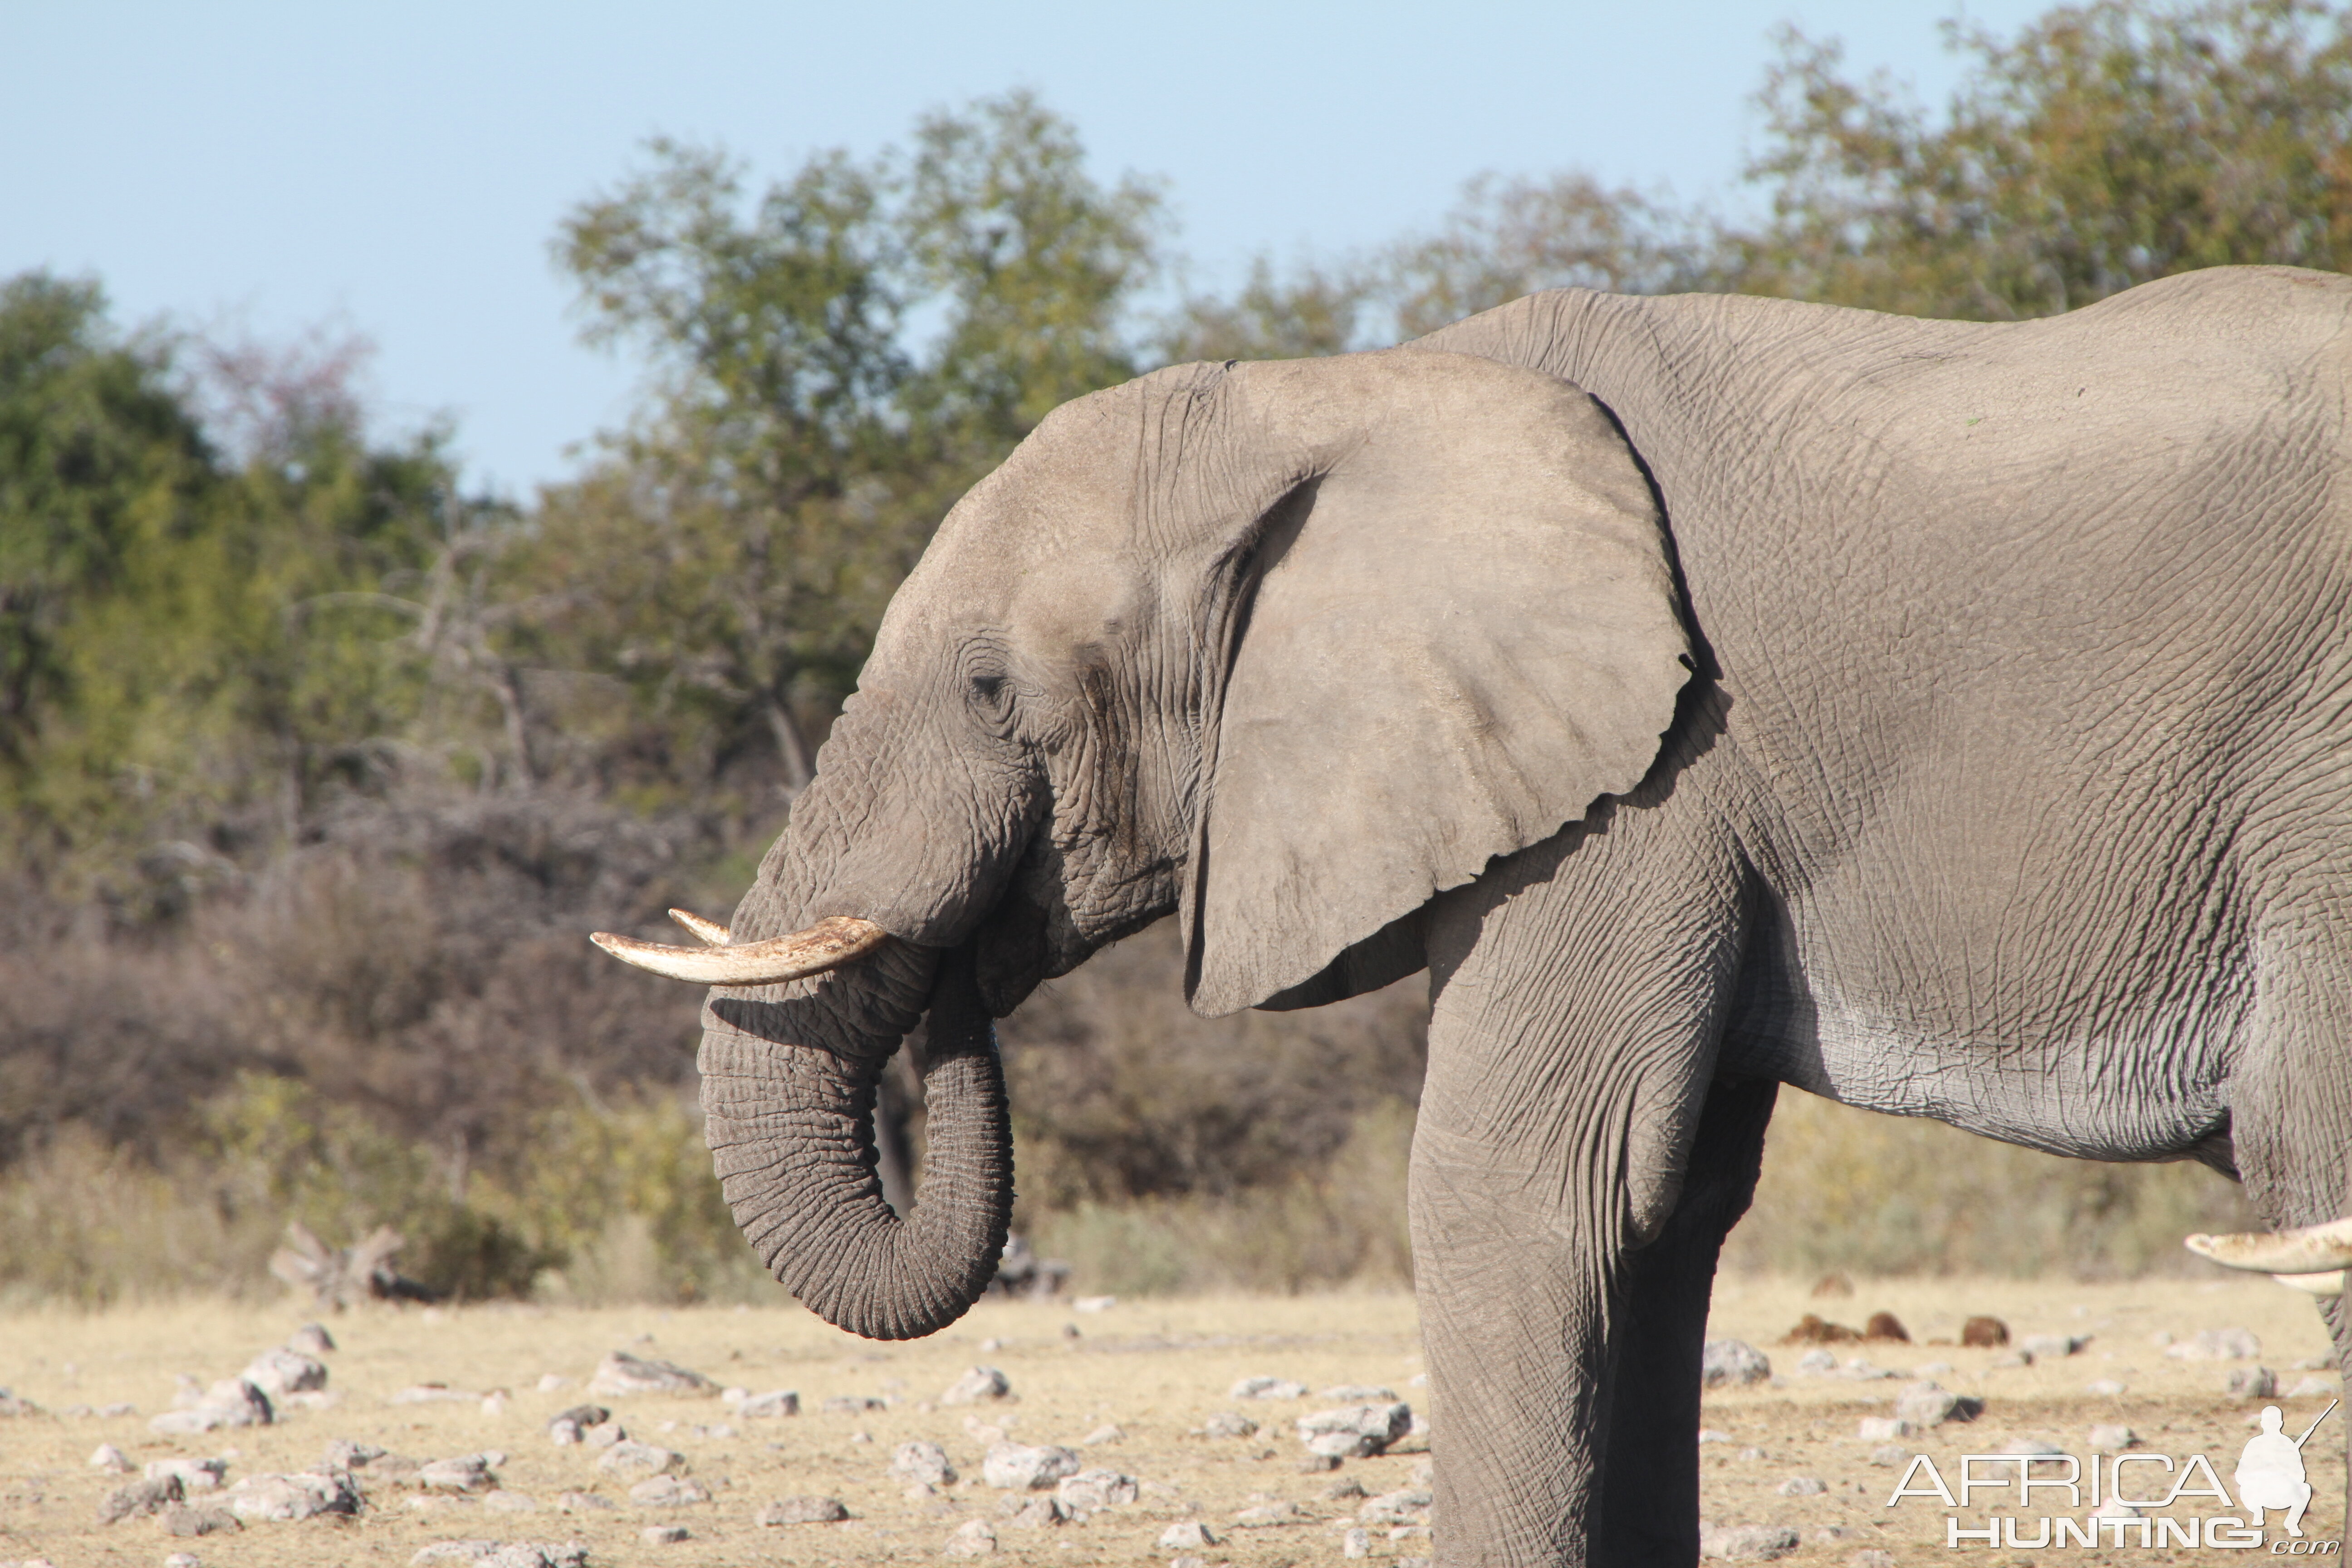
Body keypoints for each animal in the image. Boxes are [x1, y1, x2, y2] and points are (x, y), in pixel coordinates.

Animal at [597, 263, 2352, 1561]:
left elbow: (1515, 1185)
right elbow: (1663, 1213)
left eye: (987, 688)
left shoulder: (1645, 784)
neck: (1348, 391)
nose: (964, 961)